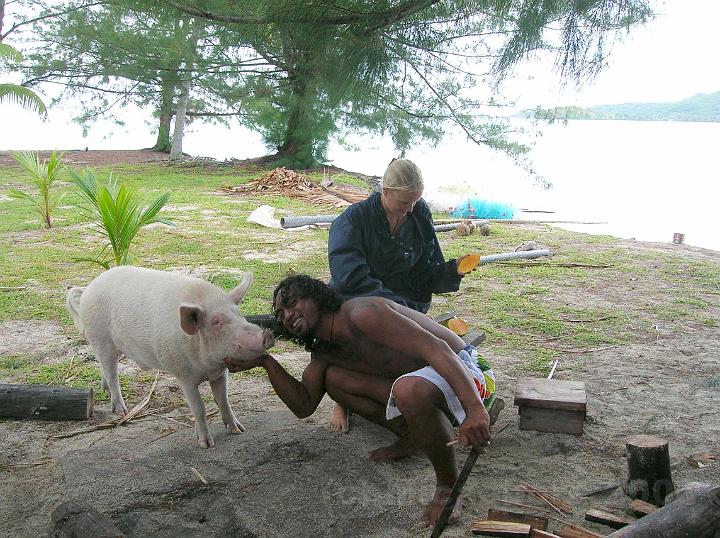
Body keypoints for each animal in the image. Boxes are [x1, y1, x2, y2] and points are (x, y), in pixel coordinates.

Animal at [66, 264, 274, 444]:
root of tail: (88, 288)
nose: (266, 335)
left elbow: (224, 401)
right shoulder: (184, 376)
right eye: (217, 321)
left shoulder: (219, 373)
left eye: (239, 313)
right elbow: (199, 409)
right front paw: (206, 444)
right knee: (112, 375)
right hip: (101, 338)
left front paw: (239, 430)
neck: (206, 367)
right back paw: (122, 412)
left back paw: (105, 391)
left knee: (106, 368)